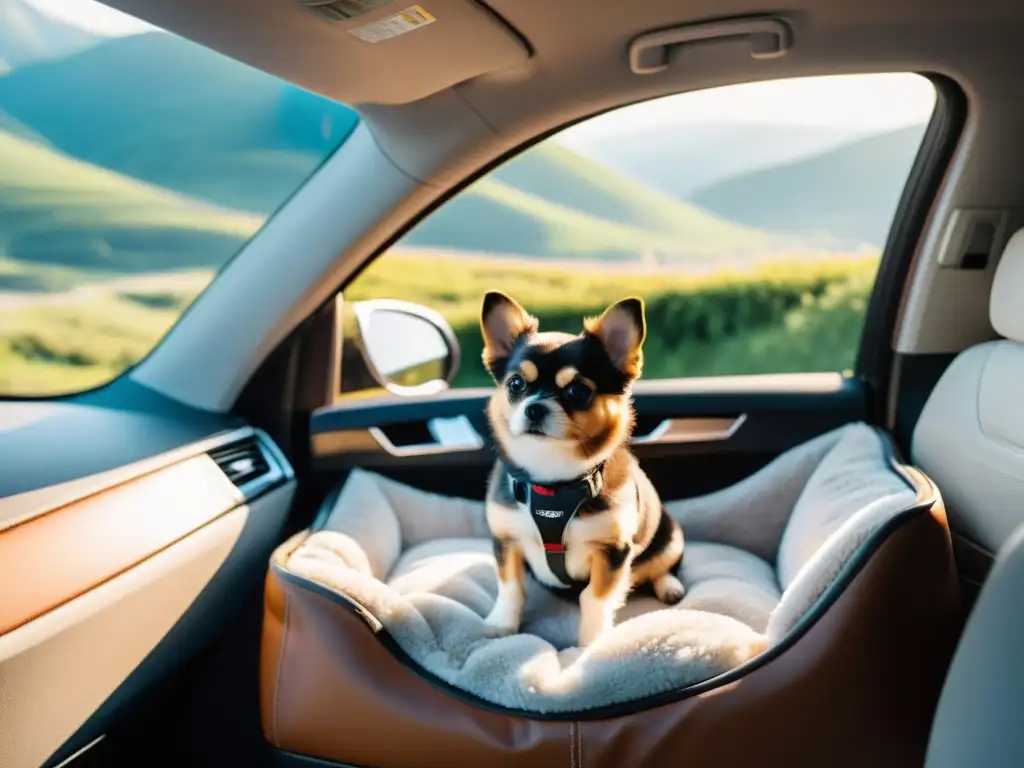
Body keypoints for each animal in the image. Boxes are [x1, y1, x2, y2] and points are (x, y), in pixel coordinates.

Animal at [479, 290, 688, 647]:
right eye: (516, 384)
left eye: (578, 391)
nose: (535, 408)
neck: (552, 478)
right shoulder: (506, 541)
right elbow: (510, 586)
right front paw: (502, 623)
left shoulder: (613, 552)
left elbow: (594, 598)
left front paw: (592, 643)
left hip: (670, 537)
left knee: (658, 566)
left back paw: (669, 585)